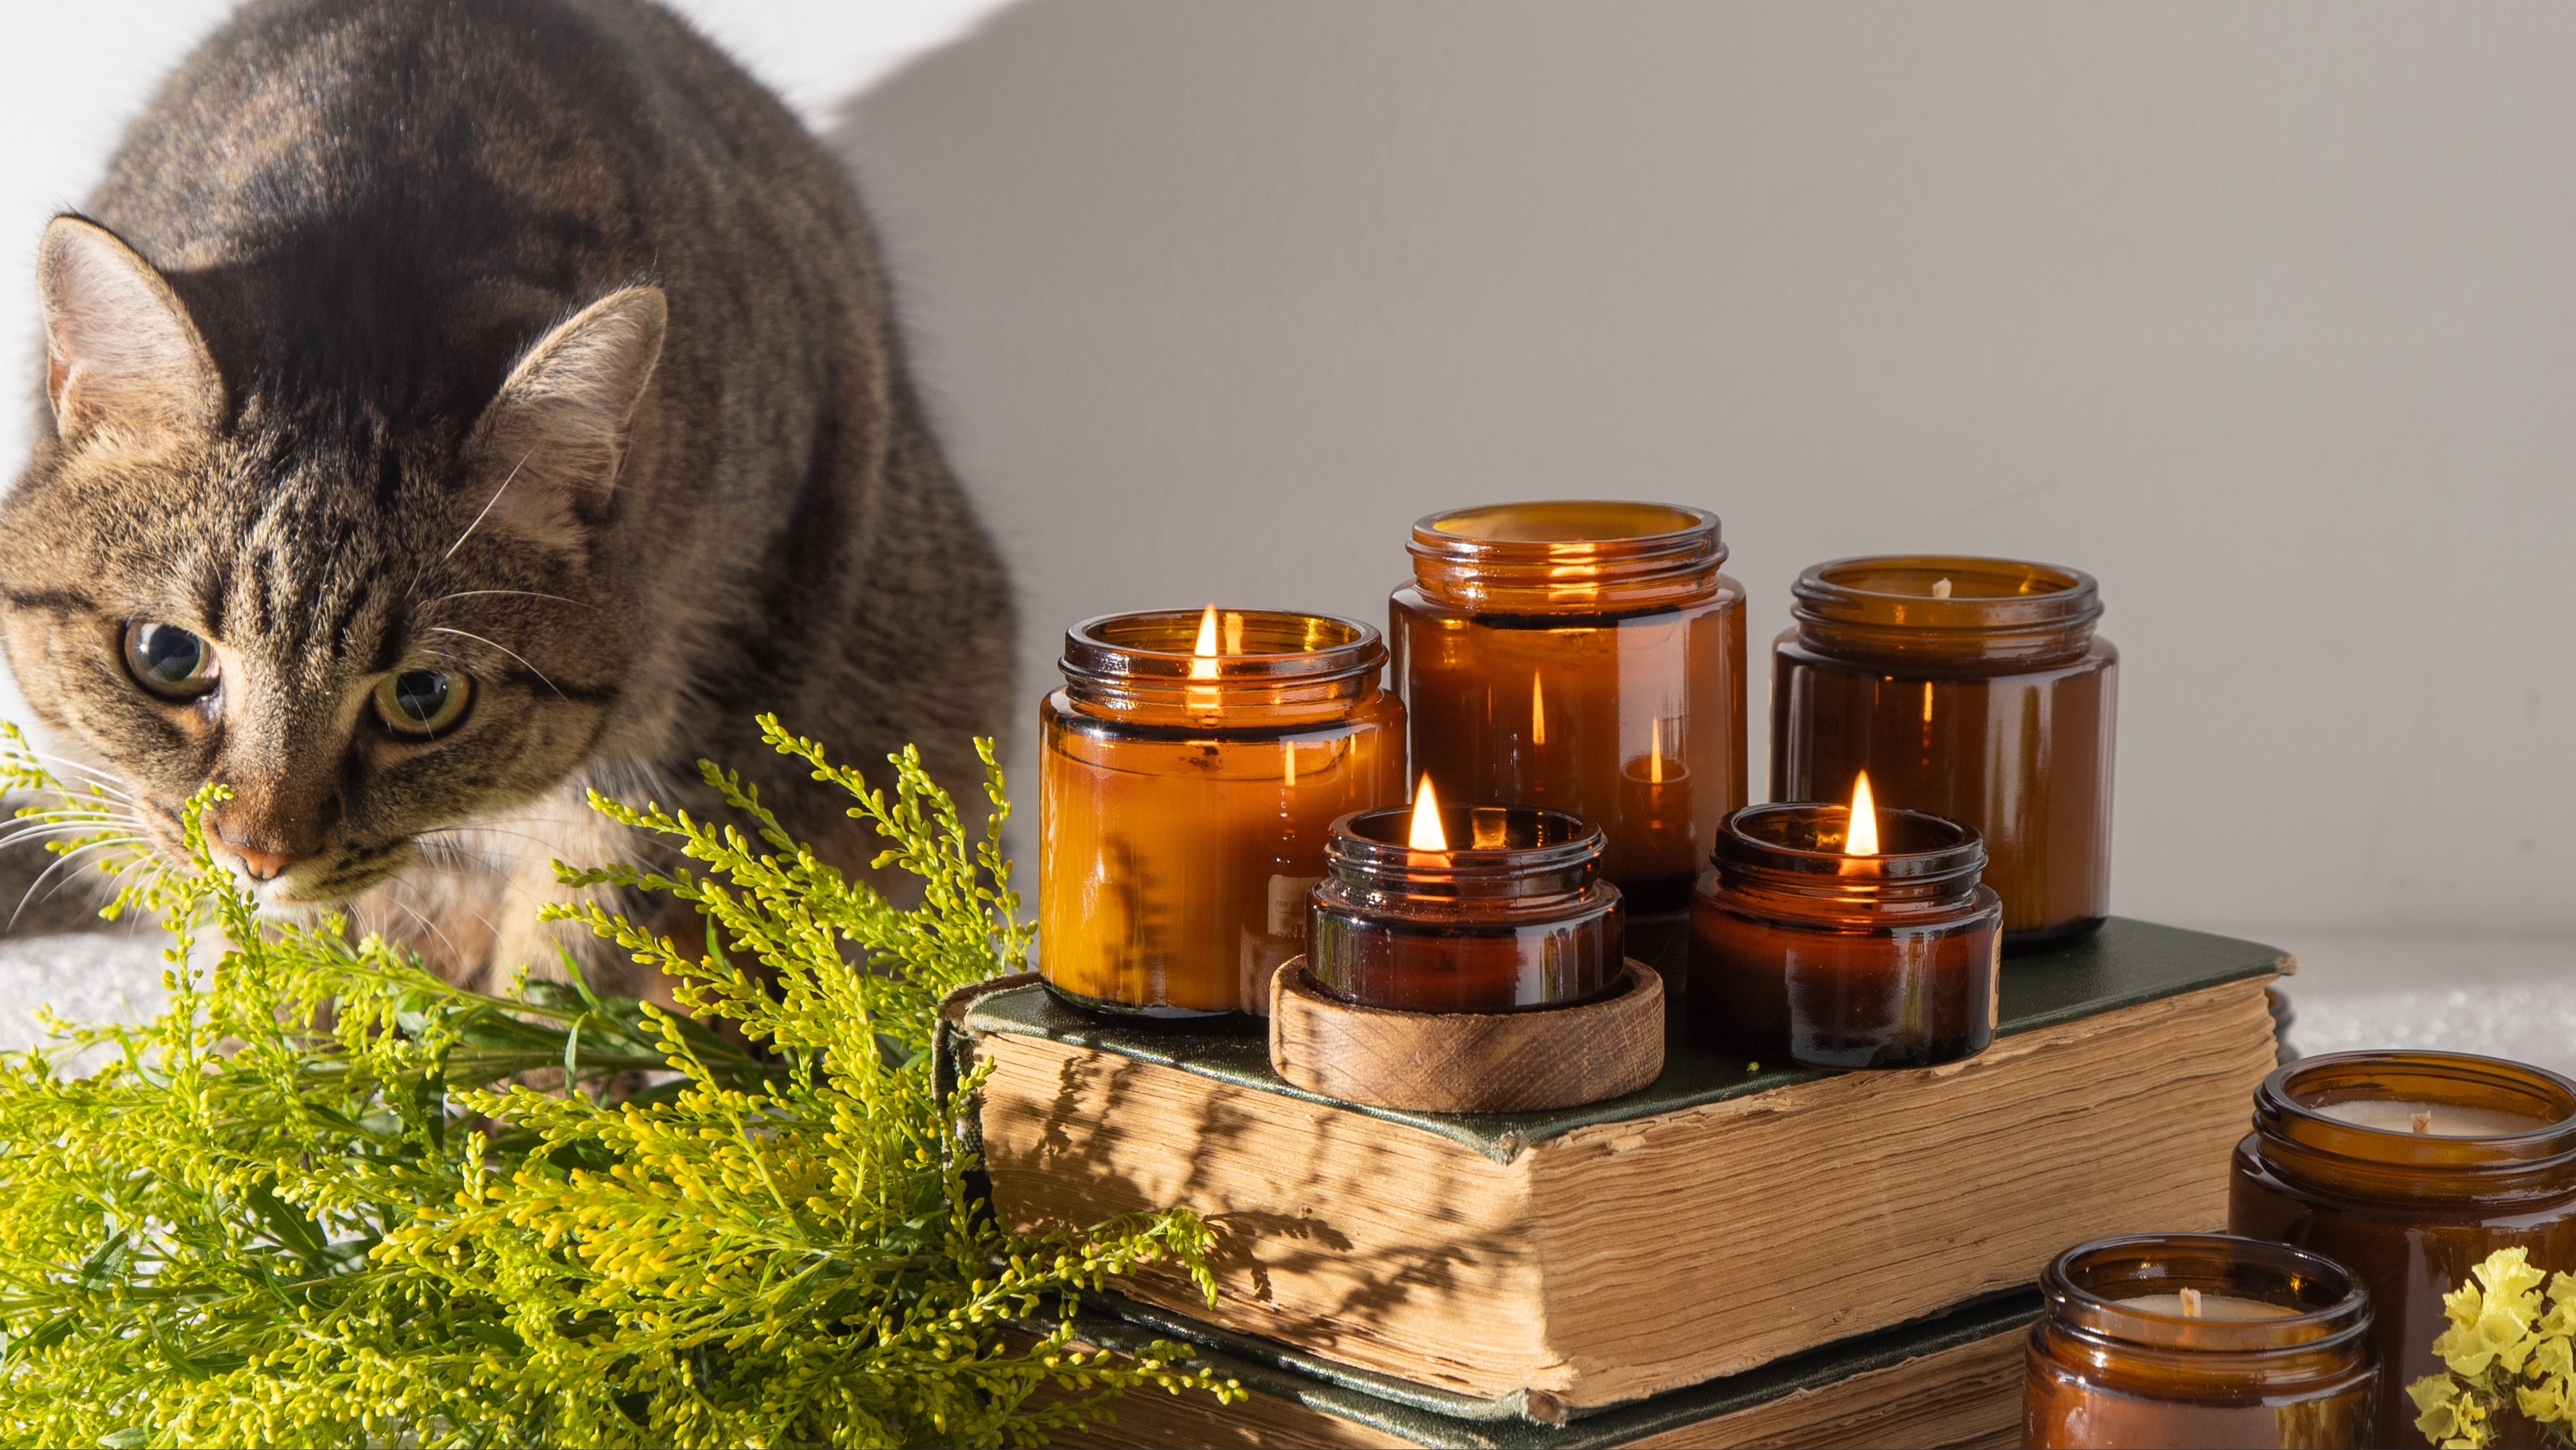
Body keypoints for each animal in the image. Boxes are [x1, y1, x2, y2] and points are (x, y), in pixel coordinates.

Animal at [0, 0, 1015, 999]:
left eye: (424, 694)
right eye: (166, 655)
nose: (260, 854)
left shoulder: (707, 690)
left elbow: (578, 939)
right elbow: (280, 961)